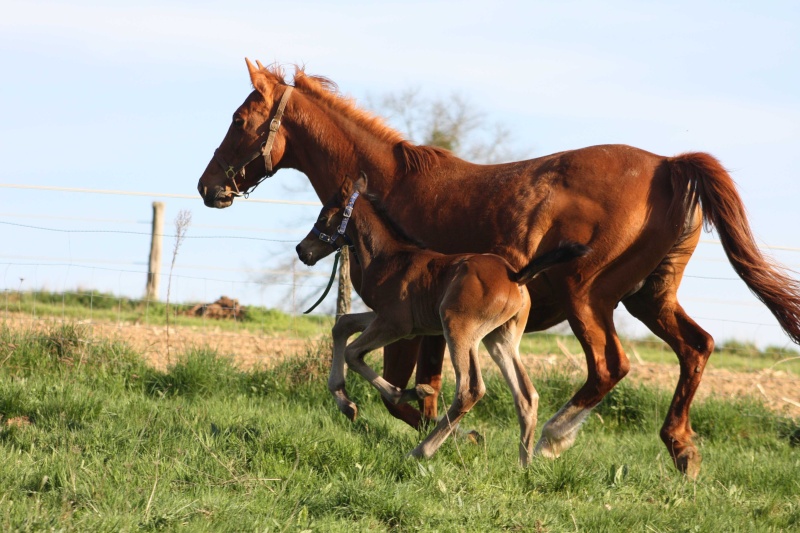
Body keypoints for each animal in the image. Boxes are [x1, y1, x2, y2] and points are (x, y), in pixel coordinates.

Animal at [294, 175, 588, 462]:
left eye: (323, 217)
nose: (301, 249)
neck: (389, 257)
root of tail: (515, 276)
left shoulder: (396, 324)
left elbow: (353, 353)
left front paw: (406, 392)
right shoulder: (387, 318)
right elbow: (342, 326)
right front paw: (346, 404)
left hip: (458, 329)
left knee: (470, 390)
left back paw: (420, 452)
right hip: (500, 338)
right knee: (526, 395)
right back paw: (523, 465)